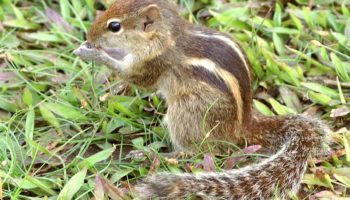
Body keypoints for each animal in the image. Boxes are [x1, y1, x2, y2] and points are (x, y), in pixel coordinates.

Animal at [74, 0, 328, 199]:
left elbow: (134, 77)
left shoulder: (154, 64)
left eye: (114, 26)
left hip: (185, 112)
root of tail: (243, 124)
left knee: (194, 151)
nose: (89, 35)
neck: (167, 36)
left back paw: (152, 154)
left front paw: (91, 52)